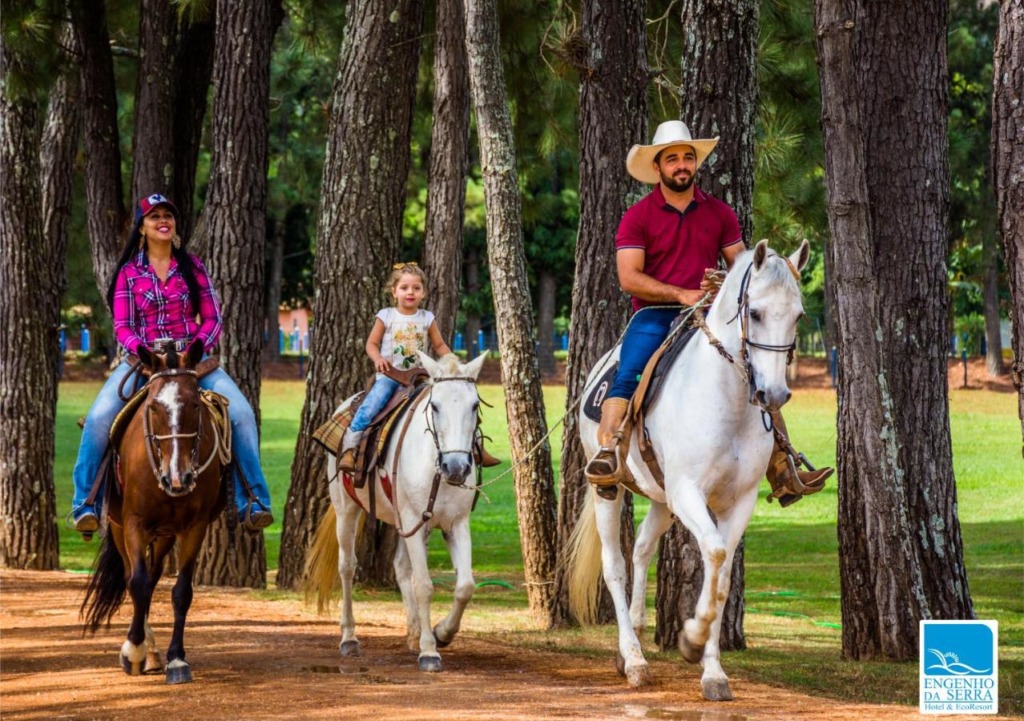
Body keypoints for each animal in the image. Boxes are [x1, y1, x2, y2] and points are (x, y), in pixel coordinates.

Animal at [80, 340, 227, 684]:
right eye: (153, 408)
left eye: (195, 405)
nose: (179, 477)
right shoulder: (134, 523)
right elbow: (137, 583)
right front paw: (133, 651)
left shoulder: (195, 527)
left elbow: (181, 591)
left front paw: (176, 659)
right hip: (119, 526)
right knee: (136, 577)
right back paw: (144, 649)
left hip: (165, 533)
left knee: (154, 574)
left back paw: (156, 654)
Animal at [303, 352, 487, 671]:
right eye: (434, 406)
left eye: (474, 405)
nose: (456, 467)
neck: (435, 465)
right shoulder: (414, 519)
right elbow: (424, 584)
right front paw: (430, 652)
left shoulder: (454, 523)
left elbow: (465, 586)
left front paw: (441, 633)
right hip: (347, 508)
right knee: (347, 566)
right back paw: (349, 638)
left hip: (405, 522)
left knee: (401, 567)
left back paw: (414, 633)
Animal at [569, 240, 806, 696]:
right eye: (755, 312)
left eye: (799, 314)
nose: (773, 394)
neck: (726, 401)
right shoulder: (689, 492)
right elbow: (713, 553)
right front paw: (692, 638)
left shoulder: (738, 501)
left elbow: (723, 577)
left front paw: (712, 671)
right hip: (611, 490)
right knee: (614, 565)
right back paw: (634, 660)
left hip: (663, 500)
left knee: (642, 548)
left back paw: (634, 638)